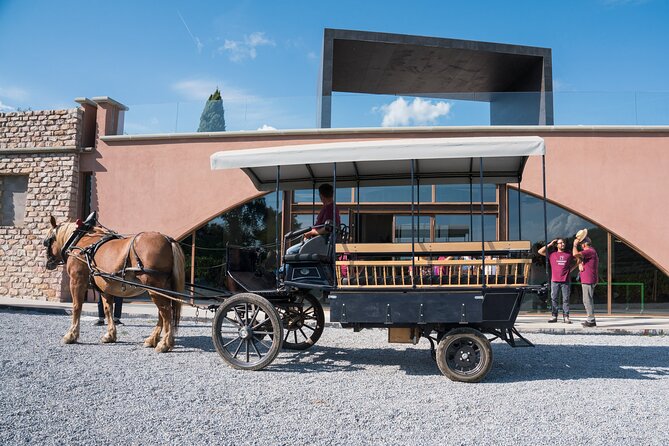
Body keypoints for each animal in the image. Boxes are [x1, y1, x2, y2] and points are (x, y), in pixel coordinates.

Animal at [43, 216, 185, 352]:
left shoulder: (77, 281)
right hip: (161, 288)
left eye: (47, 241)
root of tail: (167, 239)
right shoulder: (105, 287)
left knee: (165, 311)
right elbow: (108, 309)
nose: (48, 263)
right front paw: (110, 335)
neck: (81, 241)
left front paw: (71, 335)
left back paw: (164, 343)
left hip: (154, 286)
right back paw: (152, 339)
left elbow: (77, 307)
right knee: (162, 312)